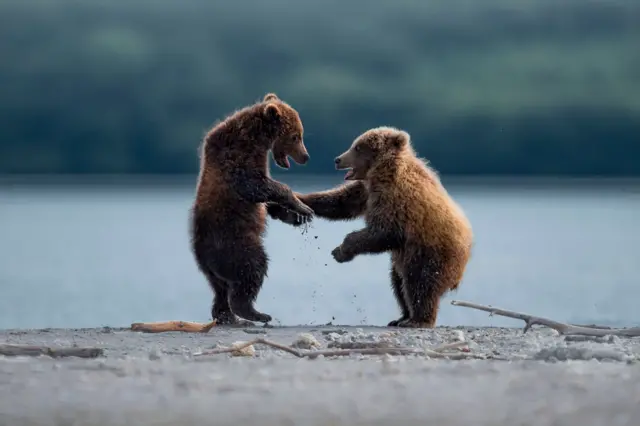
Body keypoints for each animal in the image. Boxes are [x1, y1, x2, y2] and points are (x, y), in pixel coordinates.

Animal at [190, 93, 314, 326]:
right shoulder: (236, 162)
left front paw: (296, 216)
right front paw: (303, 207)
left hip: (213, 268)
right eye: (296, 136)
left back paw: (228, 316)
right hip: (235, 244)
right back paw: (254, 313)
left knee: (220, 290)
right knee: (252, 269)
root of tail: (204, 258)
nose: (306, 156)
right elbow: (261, 186)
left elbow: (267, 200)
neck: (256, 140)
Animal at [269, 126, 473, 328]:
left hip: (430, 253)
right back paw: (401, 317)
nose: (338, 159)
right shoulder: (365, 190)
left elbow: (383, 232)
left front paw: (341, 251)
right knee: (398, 283)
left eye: (358, 147)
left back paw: (418, 320)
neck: (381, 171)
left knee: (420, 284)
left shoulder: (395, 197)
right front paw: (290, 204)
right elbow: (340, 202)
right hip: (404, 257)